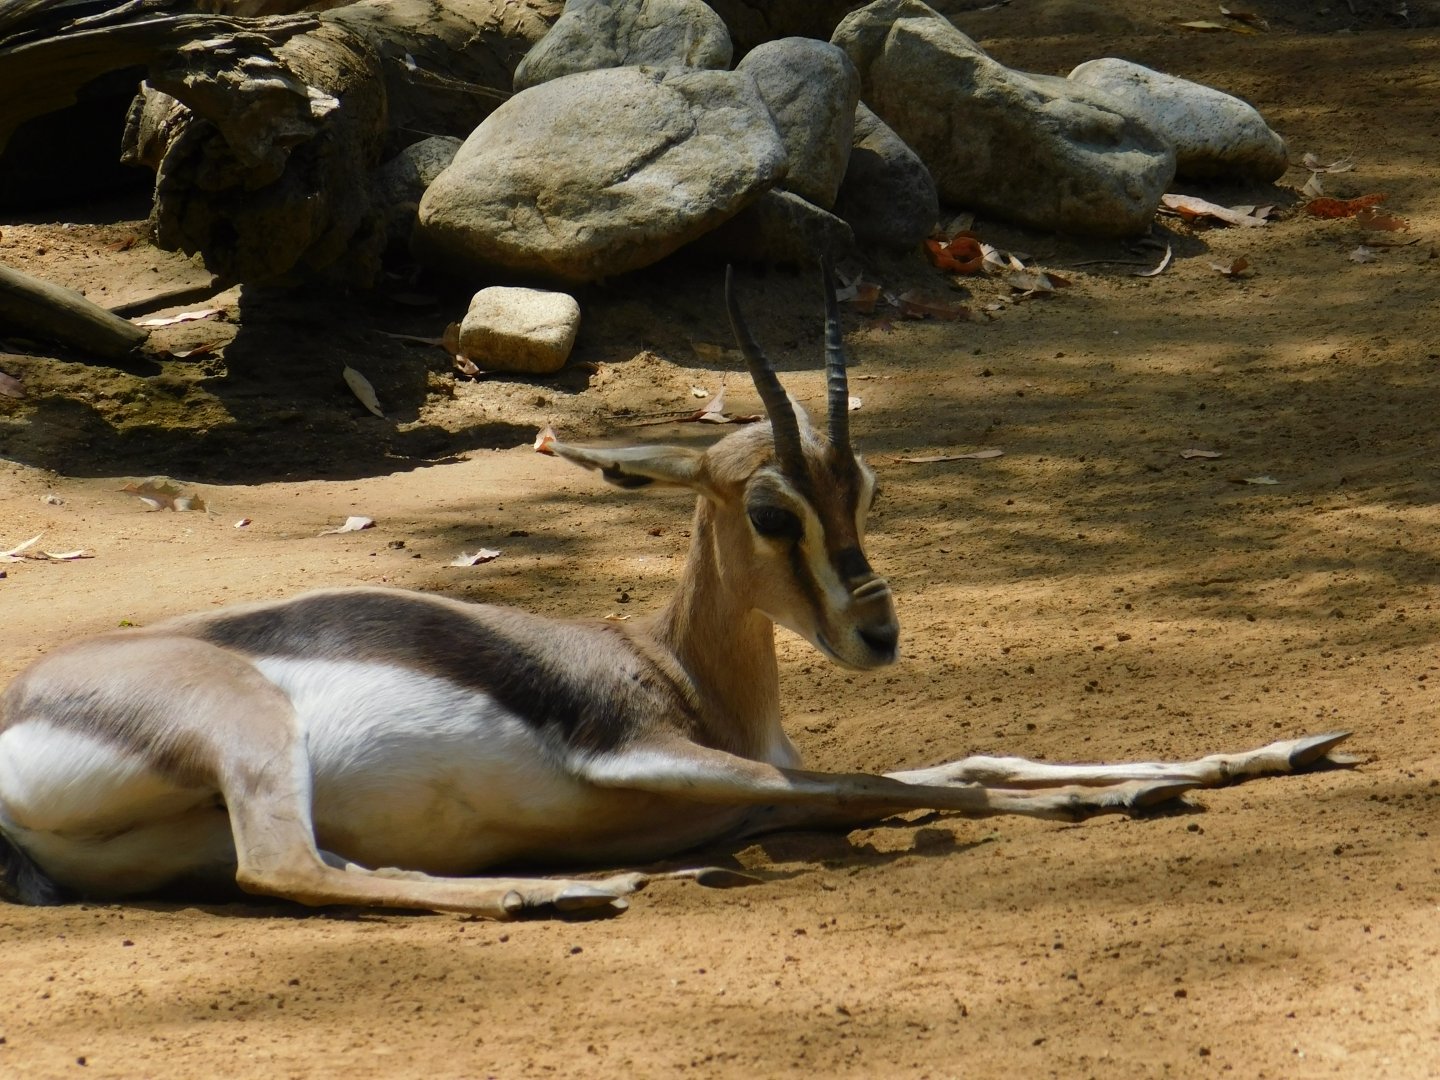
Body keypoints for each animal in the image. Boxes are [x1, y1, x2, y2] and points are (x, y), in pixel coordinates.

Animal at [0, 264, 1353, 919]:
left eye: (870, 487)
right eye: (772, 511)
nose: (879, 631)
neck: (685, 678)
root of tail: (26, 707)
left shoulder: (745, 783)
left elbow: (965, 759)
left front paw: (1279, 750)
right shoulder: (652, 758)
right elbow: (904, 783)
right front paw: (1126, 796)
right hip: (251, 735)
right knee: (286, 871)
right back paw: (580, 892)